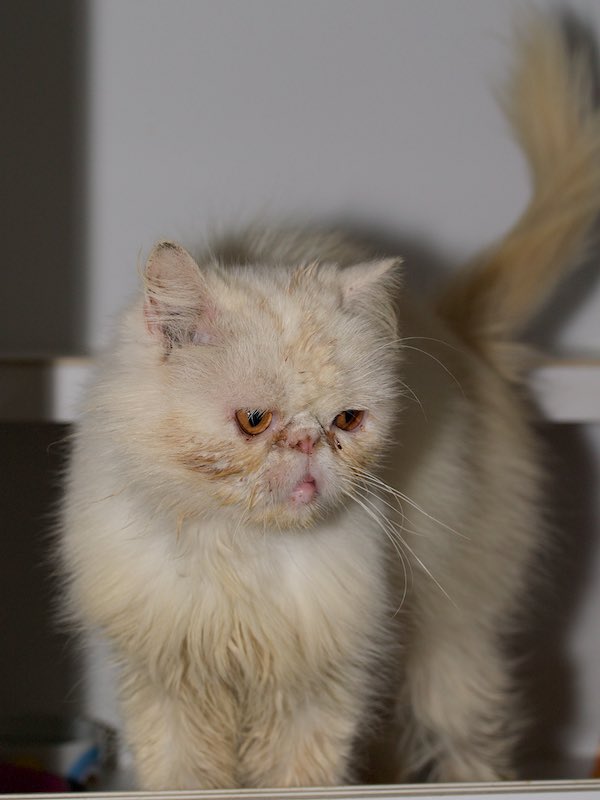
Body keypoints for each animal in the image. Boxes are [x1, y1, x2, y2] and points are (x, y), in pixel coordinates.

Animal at [59, 12, 600, 789]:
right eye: (254, 420)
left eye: (347, 420)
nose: (310, 443)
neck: (238, 554)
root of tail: (457, 329)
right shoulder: (167, 679)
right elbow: (183, 774)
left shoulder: (321, 684)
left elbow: (303, 775)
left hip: (454, 638)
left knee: (472, 737)